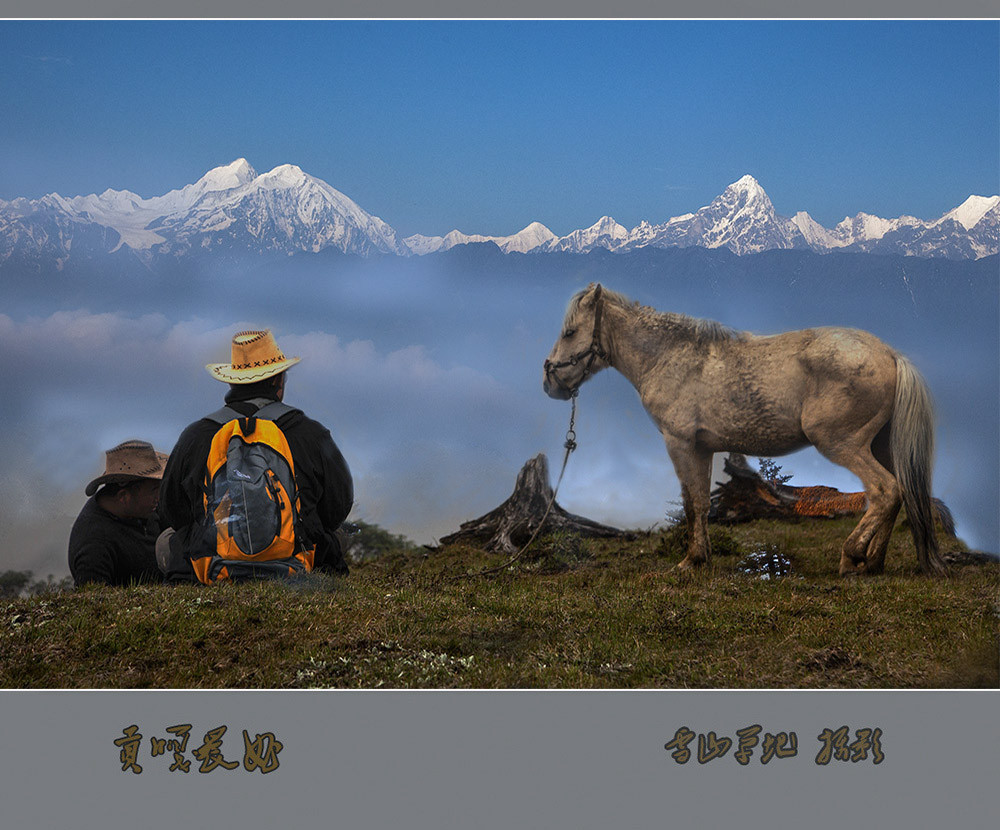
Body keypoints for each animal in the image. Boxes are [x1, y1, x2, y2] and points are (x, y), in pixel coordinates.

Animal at [548, 282, 944, 576]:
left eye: (569, 332)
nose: (549, 379)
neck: (670, 357)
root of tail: (890, 355)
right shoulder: (702, 448)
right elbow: (701, 503)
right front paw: (702, 557)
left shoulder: (680, 444)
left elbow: (690, 502)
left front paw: (690, 560)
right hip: (879, 446)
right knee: (899, 493)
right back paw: (874, 562)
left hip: (842, 444)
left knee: (884, 491)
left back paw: (852, 557)